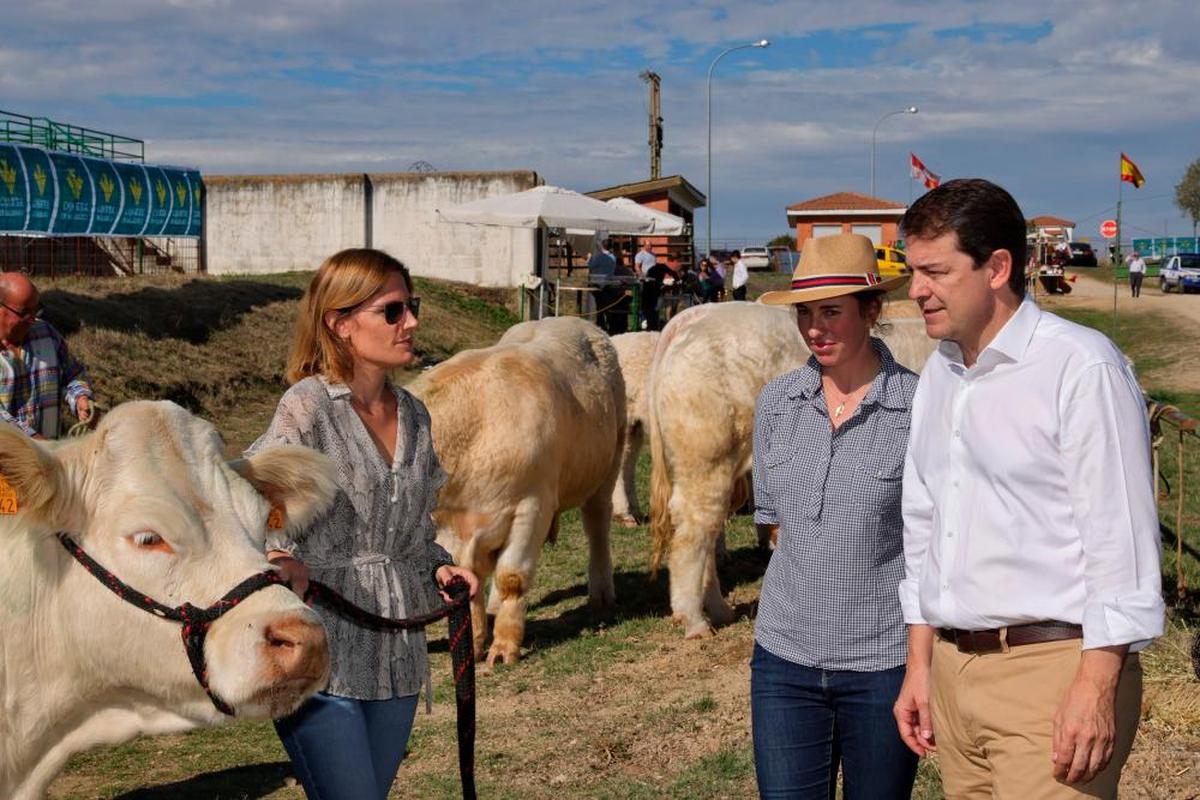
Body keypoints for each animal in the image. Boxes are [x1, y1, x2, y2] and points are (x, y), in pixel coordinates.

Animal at [408, 316, 624, 666]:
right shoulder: (447, 528)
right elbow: (465, 581)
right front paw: (474, 641)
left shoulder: (531, 507)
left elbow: (511, 577)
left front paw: (504, 646)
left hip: (608, 464)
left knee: (597, 525)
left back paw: (602, 591)